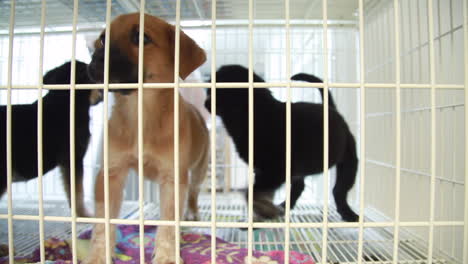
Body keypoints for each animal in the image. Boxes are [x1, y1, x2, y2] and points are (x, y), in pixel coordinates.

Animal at [84, 13, 208, 264]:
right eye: (103, 39)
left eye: (141, 38)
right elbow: (103, 223)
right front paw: (99, 255)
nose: (95, 59)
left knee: (193, 194)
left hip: (199, 169)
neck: (140, 111)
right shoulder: (110, 174)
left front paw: (167, 255)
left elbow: (169, 223)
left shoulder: (173, 178)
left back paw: (192, 213)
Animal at [204, 65, 358, 222]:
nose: (205, 103)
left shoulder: (275, 171)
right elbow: (258, 192)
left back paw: (348, 213)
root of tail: (331, 108)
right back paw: (284, 207)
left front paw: (263, 210)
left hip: (349, 160)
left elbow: (252, 192)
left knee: (339, 190)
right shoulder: (262, 170)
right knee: (299, 186)